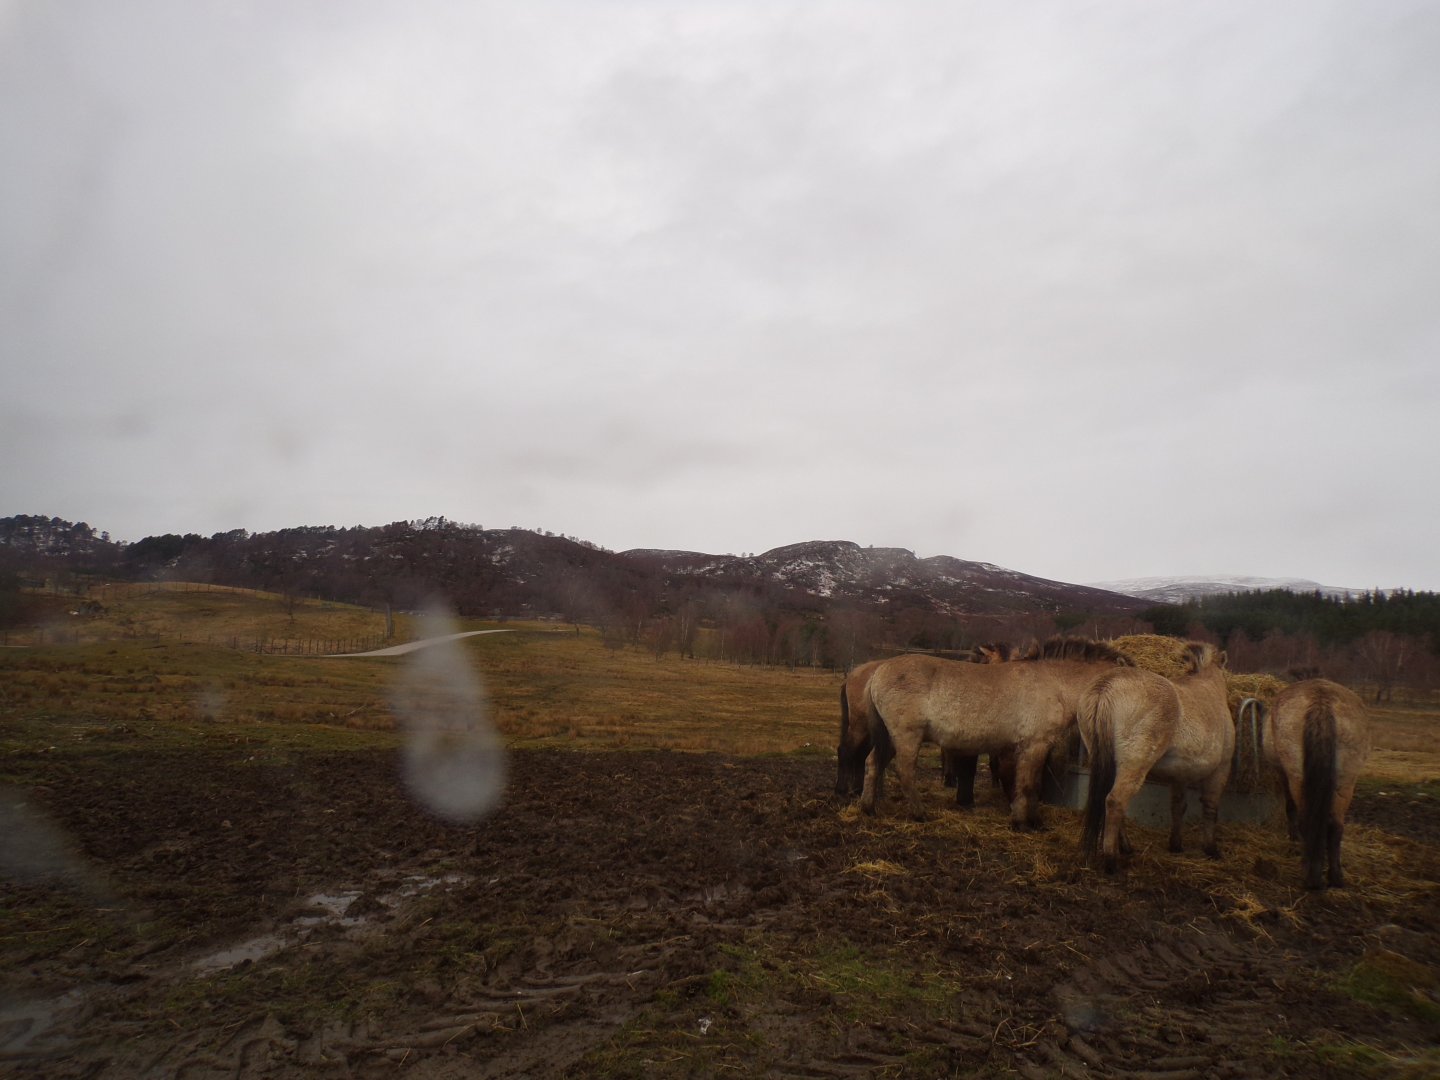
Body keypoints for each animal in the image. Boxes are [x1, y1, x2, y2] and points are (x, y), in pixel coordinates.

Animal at [860, 638, 1132, 828]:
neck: (1054, 682)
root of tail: (879, 670)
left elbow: (1025, 782)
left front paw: (1028, 819)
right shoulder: (1036, 744)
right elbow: (1029, 785)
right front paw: (1024, 823)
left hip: (890, 738)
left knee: (873, 763)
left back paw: (868, 808)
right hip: (907, 736)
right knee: (904, 772)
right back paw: (919, 813)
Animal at [1262, 678, 1371, 889]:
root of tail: (1321, 702)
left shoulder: (1284, 773)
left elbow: (1290, 807)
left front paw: (1294, 840)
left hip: (1298, 779)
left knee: (1307, 820)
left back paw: (1311, 877)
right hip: (1345, 783)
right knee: (1335, 826)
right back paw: (1335, 877)